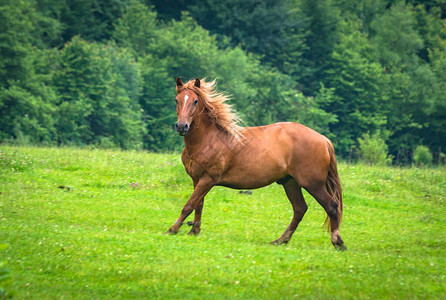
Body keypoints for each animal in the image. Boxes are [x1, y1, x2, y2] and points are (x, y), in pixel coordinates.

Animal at [166, 78, 346, 251]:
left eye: (195, 101)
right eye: (176, 100)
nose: (181, 126)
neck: (208, 139)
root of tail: (324, 140)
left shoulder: (208, 179)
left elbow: (189, 205)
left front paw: (173, 229)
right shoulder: (197, 179)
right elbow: (199, 204)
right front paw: (194, 231)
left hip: (313, 184)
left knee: (331, 206)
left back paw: (338, 242)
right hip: (290, 182)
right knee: (300, 209)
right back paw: (280, 240)